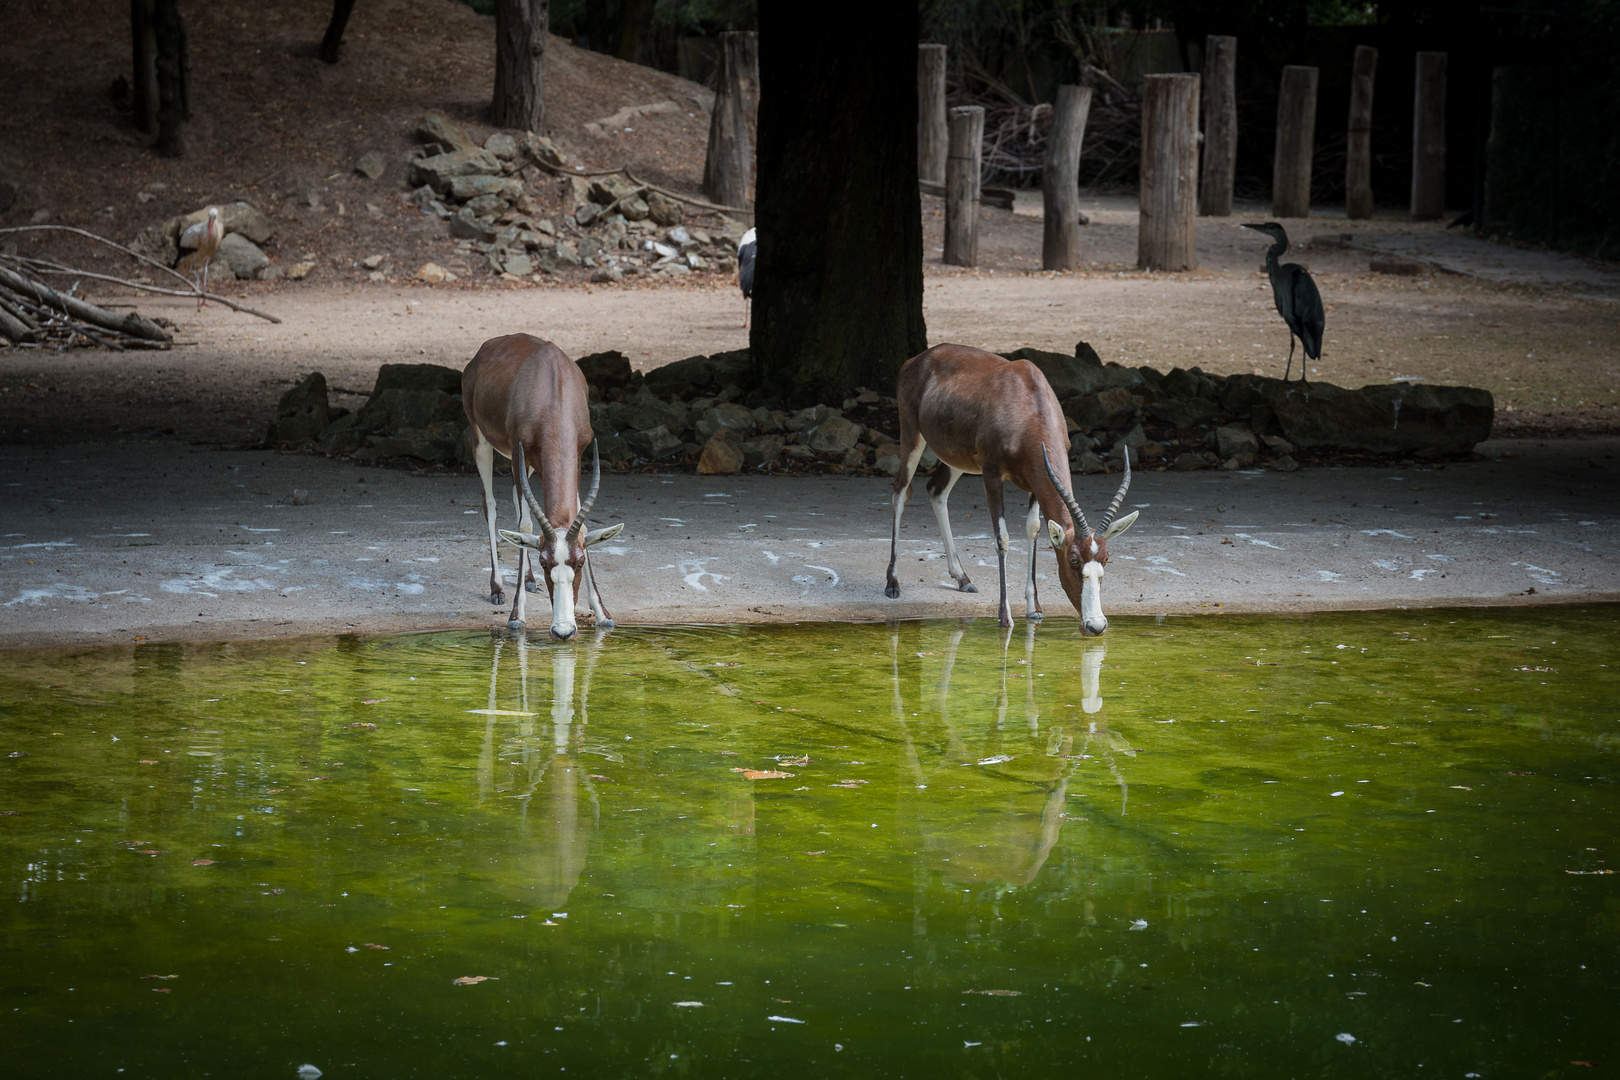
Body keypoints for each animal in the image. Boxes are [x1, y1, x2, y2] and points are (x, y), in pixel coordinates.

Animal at [469, 333, 625, 637]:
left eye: (579, 562)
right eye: (545, 562)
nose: (563, 631)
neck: (553, 385)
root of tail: (486, 347)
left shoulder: (577, 454)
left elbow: (582, 527)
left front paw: (603, 615)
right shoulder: (517, 450)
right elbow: (525, 524)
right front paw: (516, 617)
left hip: (527, 464)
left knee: (514, 497)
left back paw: (529, 580)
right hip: (481, 440)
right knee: (490, 504)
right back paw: (497, 589)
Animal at [887, 344, 1140, 634]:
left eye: (1106, 560)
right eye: (1074, 559)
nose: (1096, 625)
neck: (1027, 398)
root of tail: (917, 359)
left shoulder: (1036, 482)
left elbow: (1033, 529)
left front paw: (1034, 609)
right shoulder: (991, 474)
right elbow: (1002, 538)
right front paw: (1005, 617)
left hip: (956, 458)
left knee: (936, 490)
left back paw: (963, 579)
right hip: (912, 437)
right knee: (900, 491)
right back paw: (892, 584)